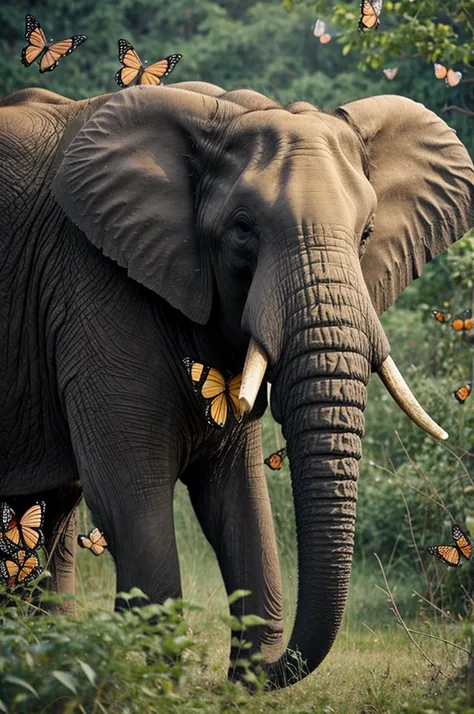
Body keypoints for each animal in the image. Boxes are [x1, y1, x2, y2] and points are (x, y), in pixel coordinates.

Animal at [0, 80, 472, 688]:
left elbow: (237, 490)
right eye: (243, 229)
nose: (261, 668)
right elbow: (130, 489)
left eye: (367, 232)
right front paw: (161, 680)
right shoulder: (91, 288)